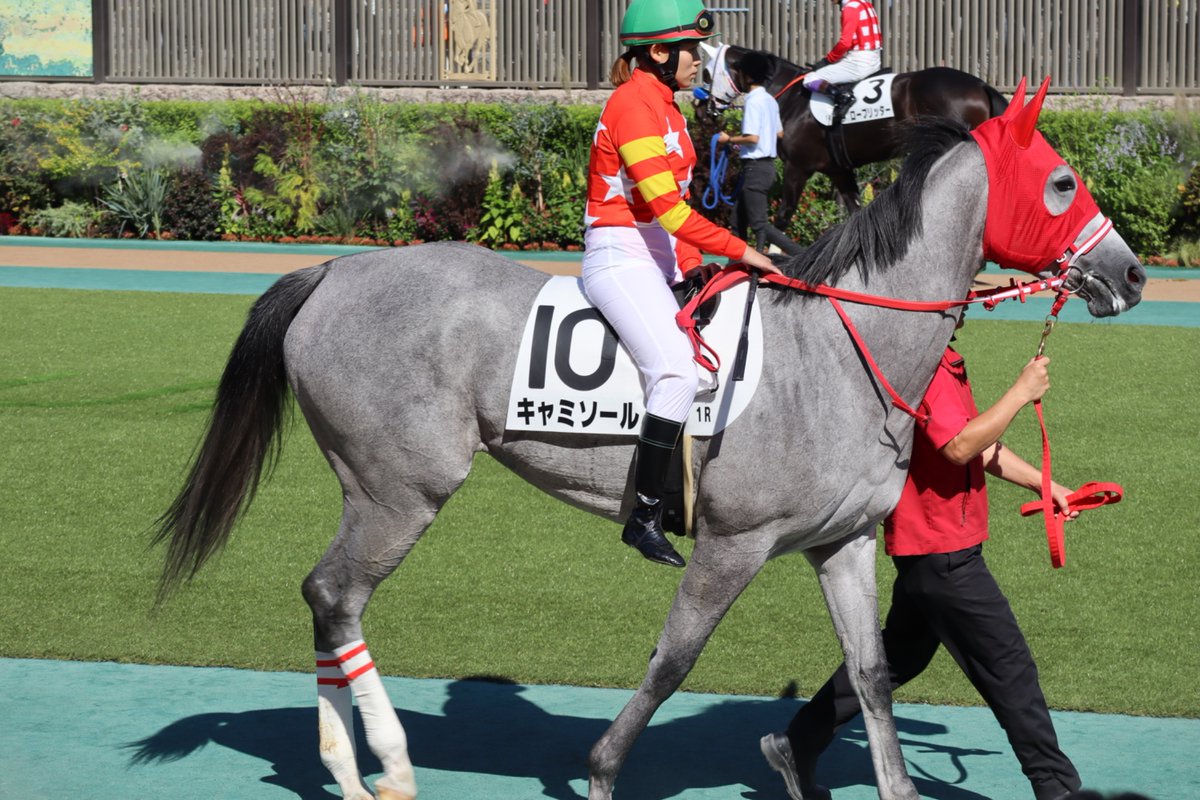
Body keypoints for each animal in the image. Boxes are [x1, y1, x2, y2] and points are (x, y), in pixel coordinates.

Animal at [154, 82, 1144, 800]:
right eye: (1061, 182)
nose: (1130, 272)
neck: (836, 348)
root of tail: (330, 271)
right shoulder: (733, 543)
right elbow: (673, 661)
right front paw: (600, 771)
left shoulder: (847, 542)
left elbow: (870, 676)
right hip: (398, 490)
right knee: (335, 594)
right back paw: (383, 767)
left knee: (330, 600)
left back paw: (353, 767)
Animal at [698, 43, 1009, 221]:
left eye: (706, 73)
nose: (703, 109)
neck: (791, 98)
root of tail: (981, 85)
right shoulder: (839, 171)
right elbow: (855, 213)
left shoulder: (798, 167)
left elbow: (785, 213)